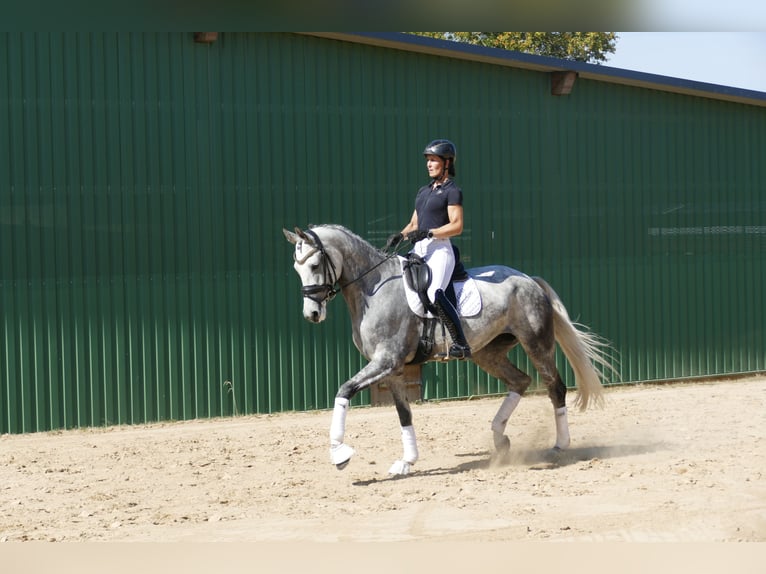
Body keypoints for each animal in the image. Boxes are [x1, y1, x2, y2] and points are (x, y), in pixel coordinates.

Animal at [284, 225, 616, 476]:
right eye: (296, 269)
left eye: (314, 265)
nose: (312, 314)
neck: (374, 288)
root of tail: (527, 279)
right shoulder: (392, 369)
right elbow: (404, 414)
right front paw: (407, 462)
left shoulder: (385, 362)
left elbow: (344, 390)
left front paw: (339, 454)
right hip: (487, 352)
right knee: (520, 381)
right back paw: (500, 438)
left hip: (536, 343)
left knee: (554, 386)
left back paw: (560, 445)